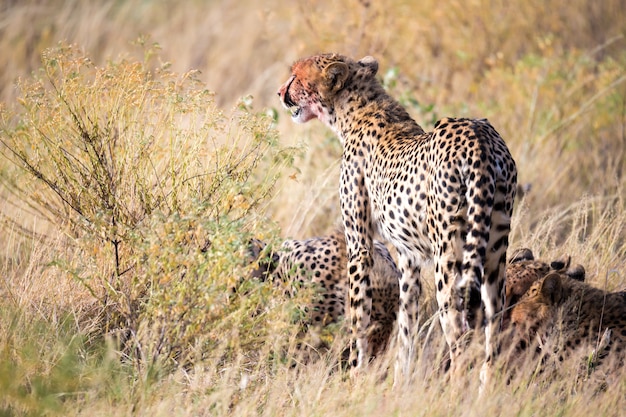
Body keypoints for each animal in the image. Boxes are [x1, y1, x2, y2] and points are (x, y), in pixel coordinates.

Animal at [278, 52, 516, 386]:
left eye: (297, 76)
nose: (280, 92)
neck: (356, 109)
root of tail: (478, 135)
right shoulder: (408, 257)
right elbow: (406, 324)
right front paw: (400, 383)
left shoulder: (360, 245)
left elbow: (359, 319)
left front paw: (356, 375)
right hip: (495, 253)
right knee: (494, 328)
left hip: (448, 256)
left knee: (458, 333)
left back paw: (454, 390)